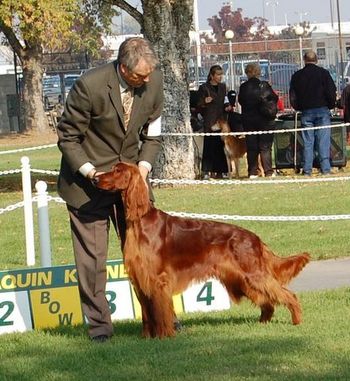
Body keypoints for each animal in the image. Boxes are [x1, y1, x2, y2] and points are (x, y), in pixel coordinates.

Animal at [94, 162, 310, 336]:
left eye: (117, 170)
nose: (95, 178)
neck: (140, 221)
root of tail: (255, 238)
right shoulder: (140, 278)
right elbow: (147, 314)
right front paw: (147, 338)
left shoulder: (157, 280)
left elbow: (160, 312)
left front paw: (164, 337)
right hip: (241, 278)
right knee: (268, 301)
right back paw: (263, 323)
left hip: (252, 273)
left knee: (287, 294)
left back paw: (297, 320)